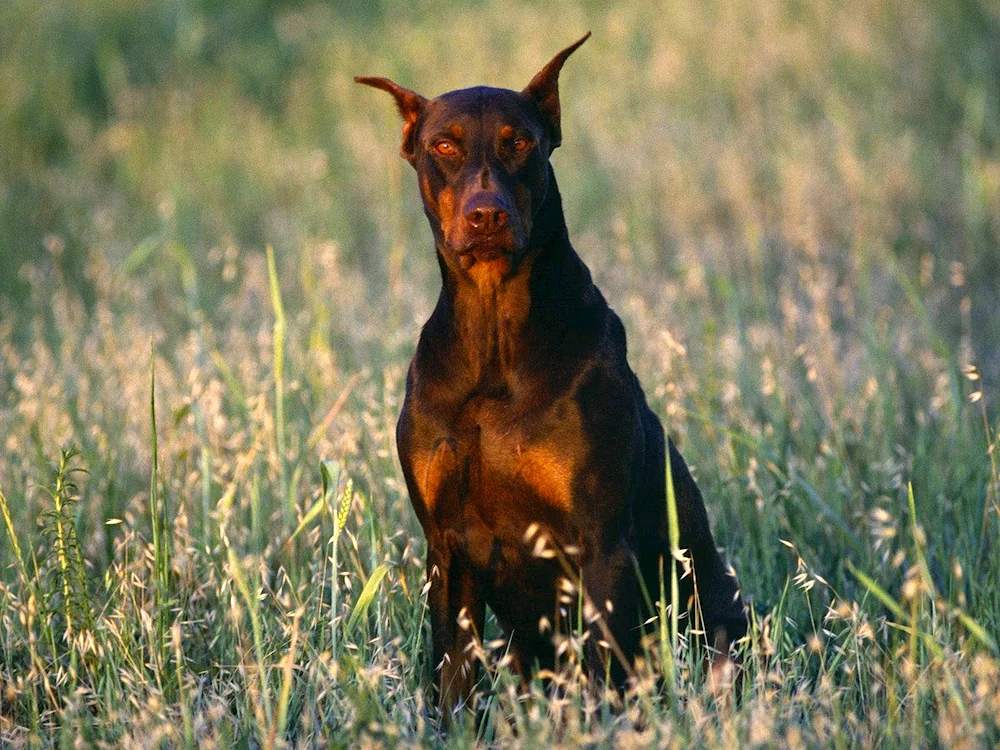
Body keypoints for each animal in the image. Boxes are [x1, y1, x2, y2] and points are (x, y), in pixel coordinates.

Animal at [358, 33, 744, 716]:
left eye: (521, 142)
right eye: (444, 146)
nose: (486, 215)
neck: (493, 347)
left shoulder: (600, 545)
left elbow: (605, 678)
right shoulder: (446, 549)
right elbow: (451, 679)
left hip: (718, 608)